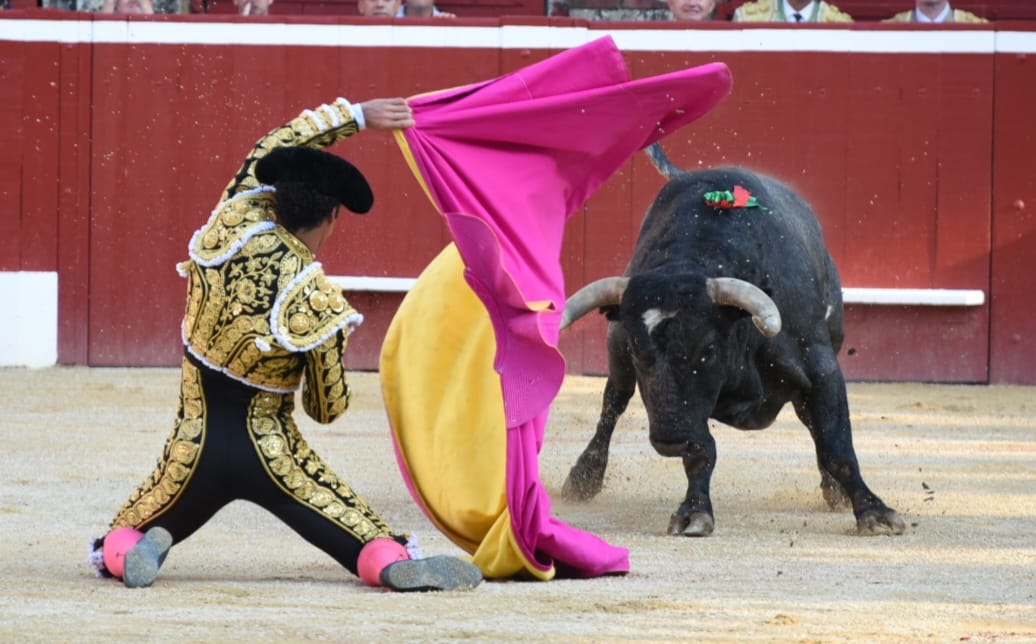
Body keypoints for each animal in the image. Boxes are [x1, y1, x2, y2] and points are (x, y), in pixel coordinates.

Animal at [560, 144, 905, 537]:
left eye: (709, 349)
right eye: (636, 348)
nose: (670, 439)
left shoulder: (821, 368)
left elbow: (836, 443)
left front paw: (874, 511)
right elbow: (700, 451)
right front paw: (694, 512)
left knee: (813, 423)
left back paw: (836, 491)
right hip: (616, 360)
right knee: (613, 403)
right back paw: (583, 477)